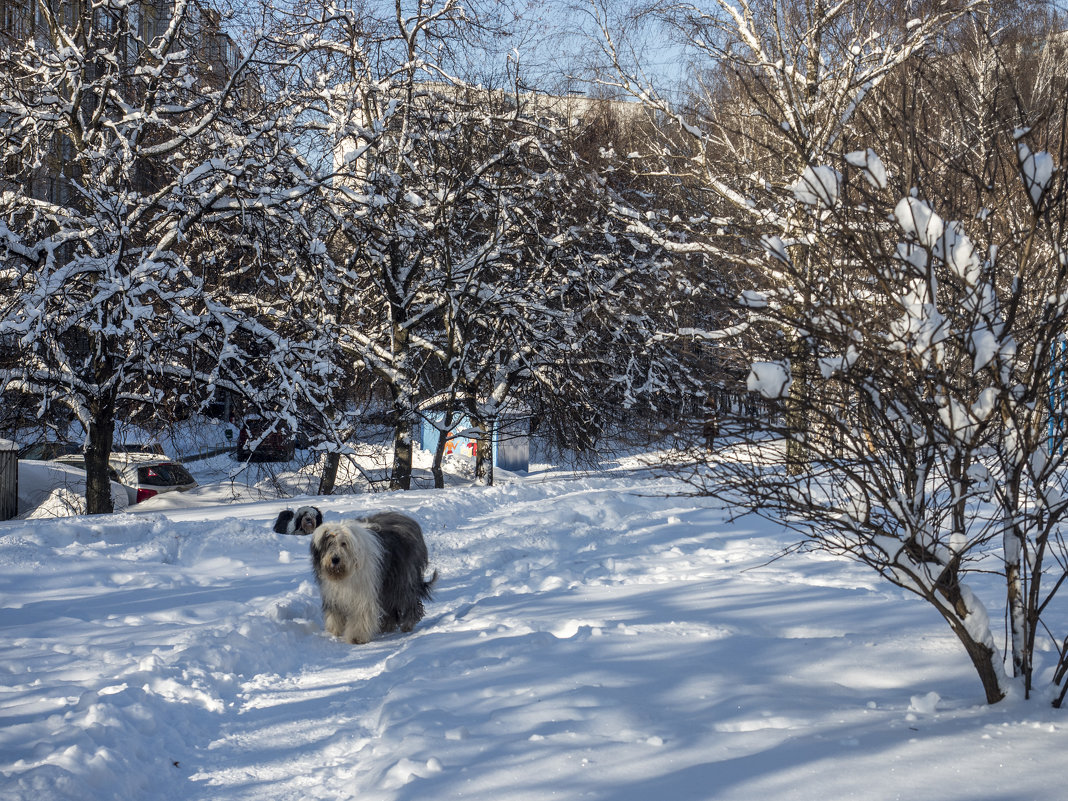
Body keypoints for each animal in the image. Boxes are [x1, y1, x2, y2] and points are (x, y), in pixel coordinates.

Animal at [311, 514, 435, 645]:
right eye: (329, 544)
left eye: (343, 544)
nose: (335, 559)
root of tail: (409, 520)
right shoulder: (334, 592)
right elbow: (335, 612)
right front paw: (334, 631)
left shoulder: (364, 592)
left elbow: (361, 613)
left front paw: (357, 637)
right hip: (387, 583)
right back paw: (387, 626)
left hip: (402, 578)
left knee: (409, 600)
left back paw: (408, 624)